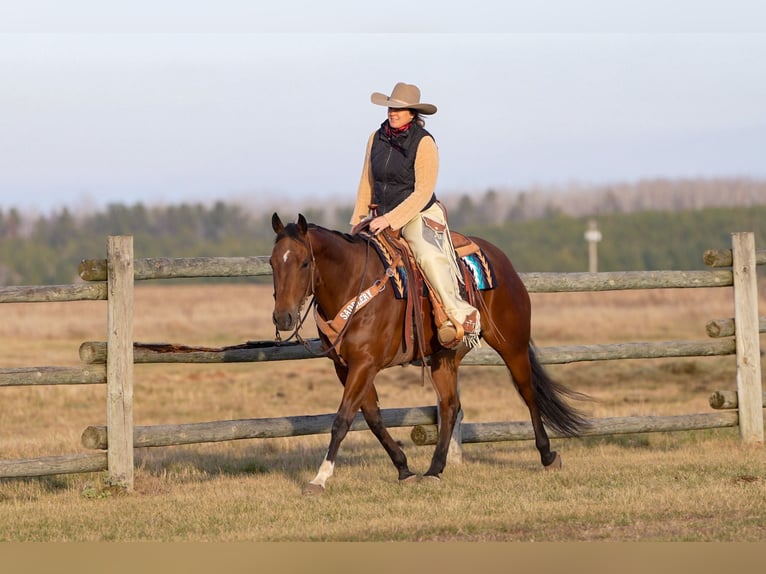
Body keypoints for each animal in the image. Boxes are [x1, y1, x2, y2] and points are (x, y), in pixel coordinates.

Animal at [270, 213, 588, 496]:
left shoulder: (365, 363)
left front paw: (319, 479)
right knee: (450, 406)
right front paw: (404, 469)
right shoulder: (346, 366)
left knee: (528, 393)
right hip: (445, 357)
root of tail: (500, 258)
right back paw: (434, 470)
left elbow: (343, 419)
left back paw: (547, 455)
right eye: (273, 262)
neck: (354, 285)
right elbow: (372, 418)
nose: (283, 317)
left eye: (304, 262)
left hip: (512, 344)